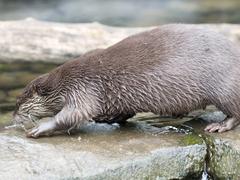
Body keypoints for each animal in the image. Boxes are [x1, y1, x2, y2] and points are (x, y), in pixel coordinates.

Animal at [13, 24, 240, 138]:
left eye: (18, 103)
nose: (14, 116)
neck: (64, 82)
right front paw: (108, 118)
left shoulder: (81, 89)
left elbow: (73, 114)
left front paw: (41, 128)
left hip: (225, 87)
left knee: (235, 111)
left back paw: (220, 126)